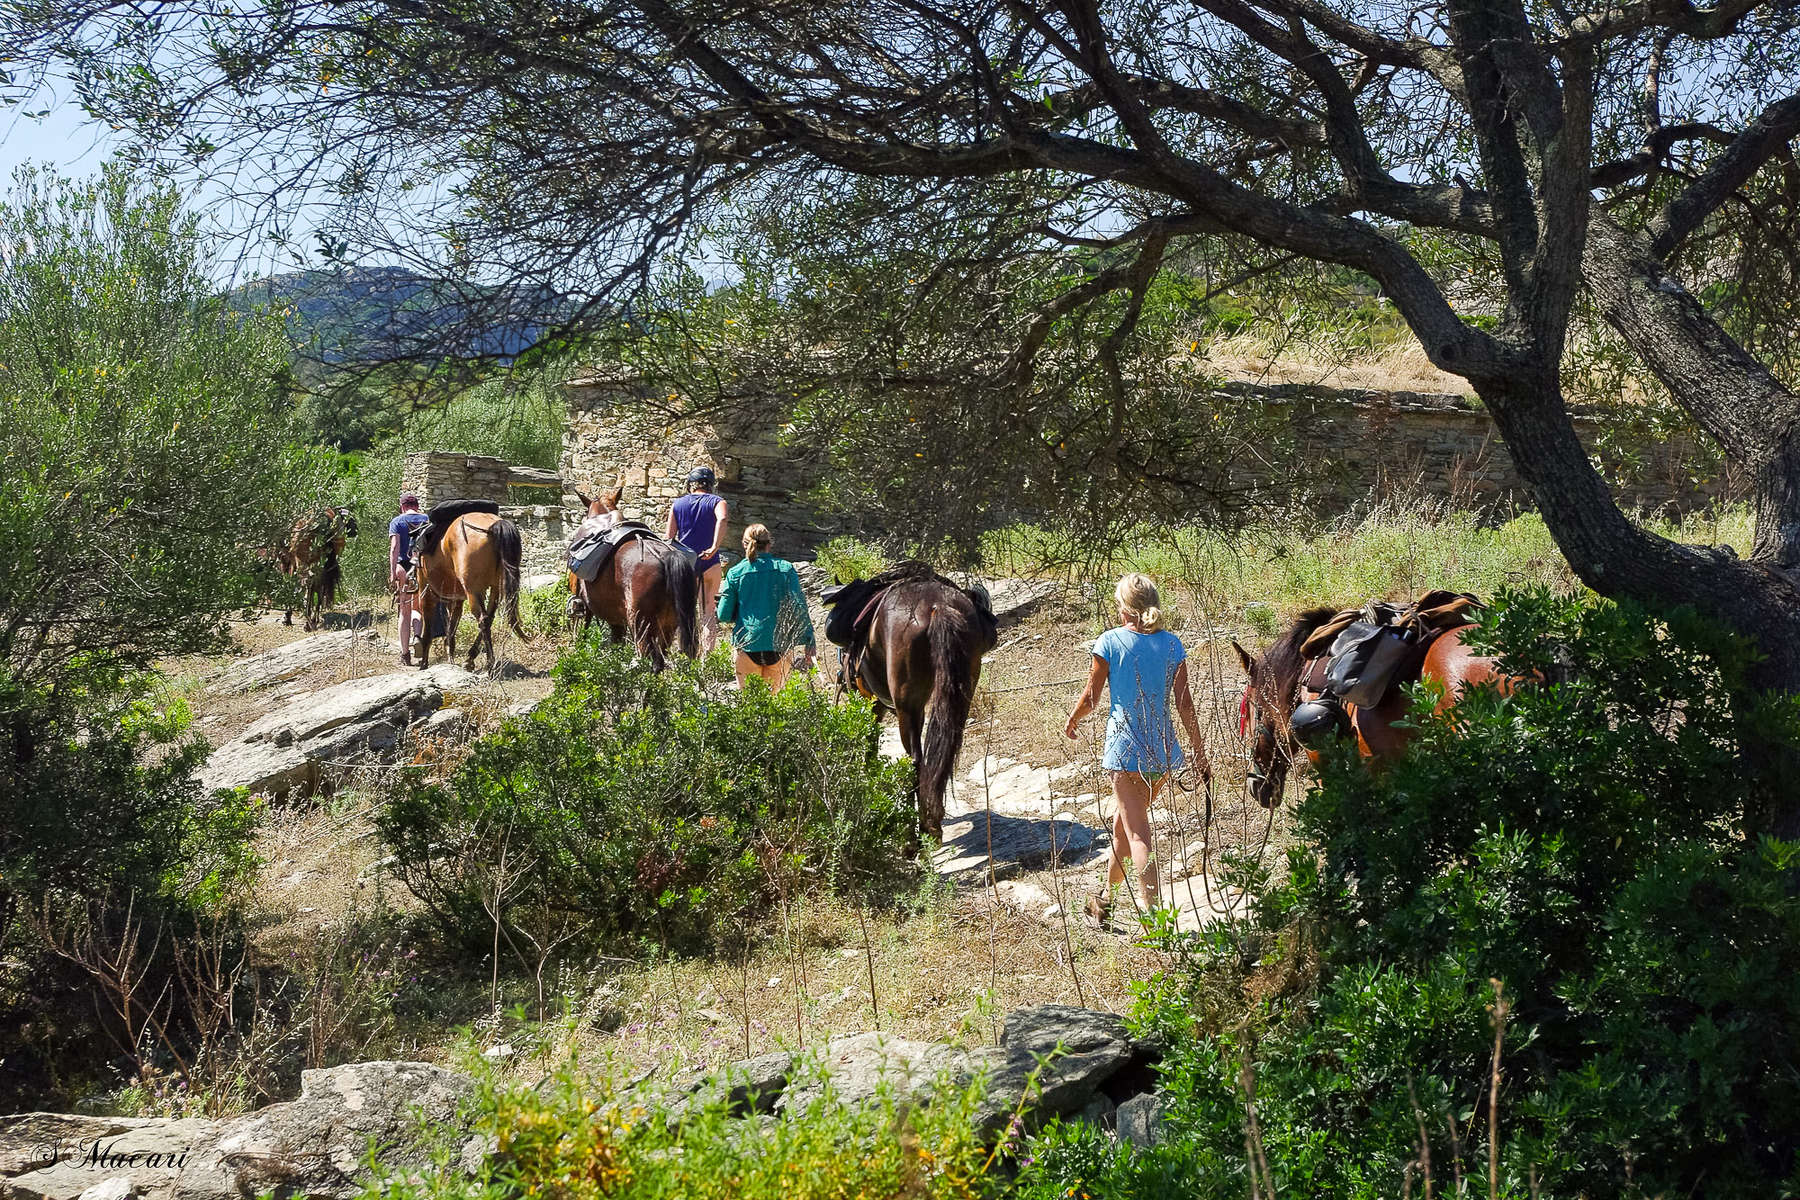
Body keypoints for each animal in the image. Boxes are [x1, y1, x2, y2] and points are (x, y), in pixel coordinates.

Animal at [410, 510, 518, 676]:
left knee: (483, 619)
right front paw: (451, 659)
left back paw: (489, 664)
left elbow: (428, 632)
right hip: (495, 588)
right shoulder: (457, 599)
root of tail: (494, 525)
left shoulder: (426, 595)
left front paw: (424, 664)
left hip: (473, 591)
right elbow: (451, 630)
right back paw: (471, 659)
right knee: (489, 618)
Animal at [565, 489, 698, 676]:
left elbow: (583, 633)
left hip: (641, 626)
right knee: (660, 660)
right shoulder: (616, 620)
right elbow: (617, 644)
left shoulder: (585, 608)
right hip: (669, 626)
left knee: (649, 658)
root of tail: (666, 555)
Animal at [842, 572, 1000, 834]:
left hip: (907, 706)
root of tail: (938, 606)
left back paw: (915, 833)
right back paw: (931, 822)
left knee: (914, 760)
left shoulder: (874, 704)